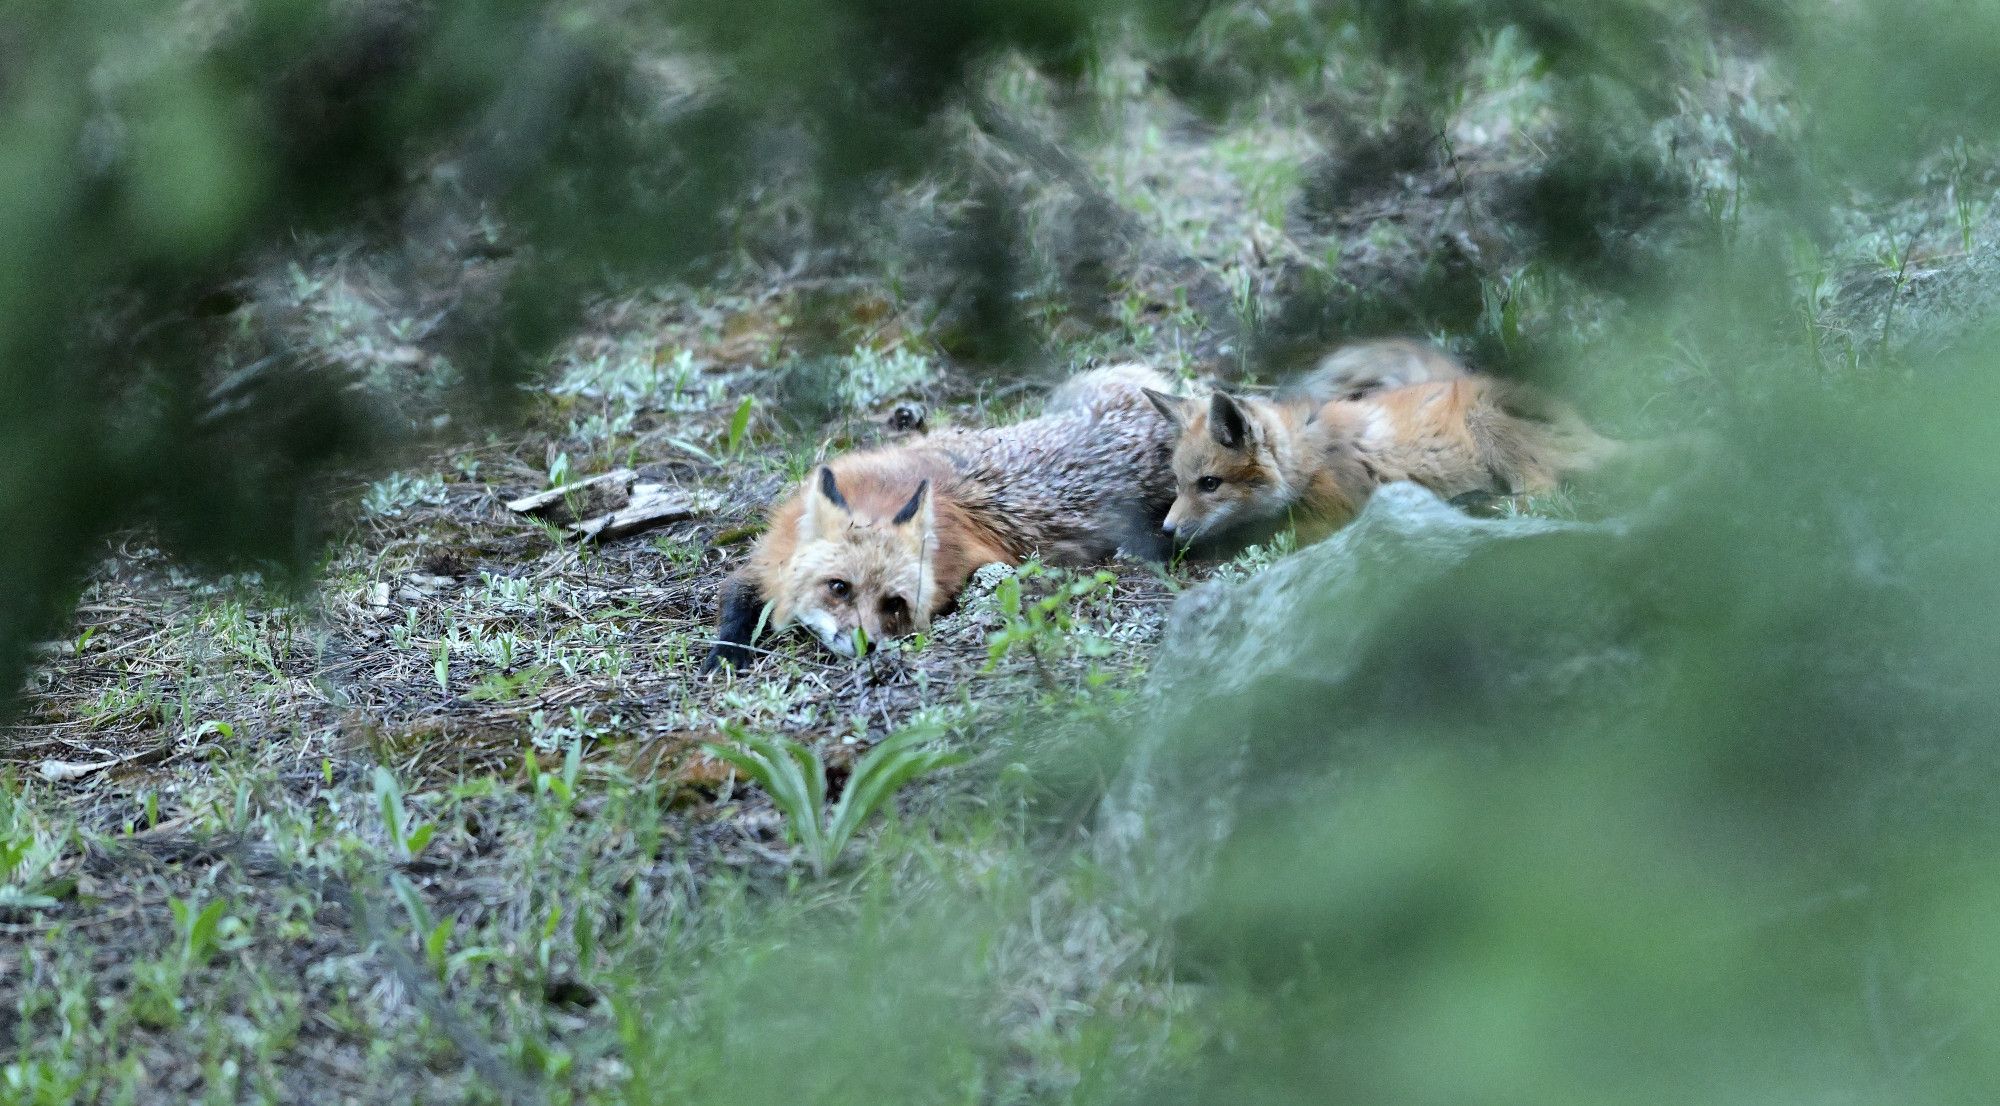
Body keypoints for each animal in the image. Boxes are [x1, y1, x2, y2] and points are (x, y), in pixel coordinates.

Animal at [704, 366, 1176, 668]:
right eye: (838, 588)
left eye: (894, 604)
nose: (867, 646)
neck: (879, 494)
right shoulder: (770, 555)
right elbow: (736, 594)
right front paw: (726, 653)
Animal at [1144, 334, 1624, 544]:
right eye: (1179, 484)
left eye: (1209, 484)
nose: (1166, 530)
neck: (1306, 459)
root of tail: (1593, 430)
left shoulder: (1333, 515)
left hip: (1485, 423)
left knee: (1542, 495)